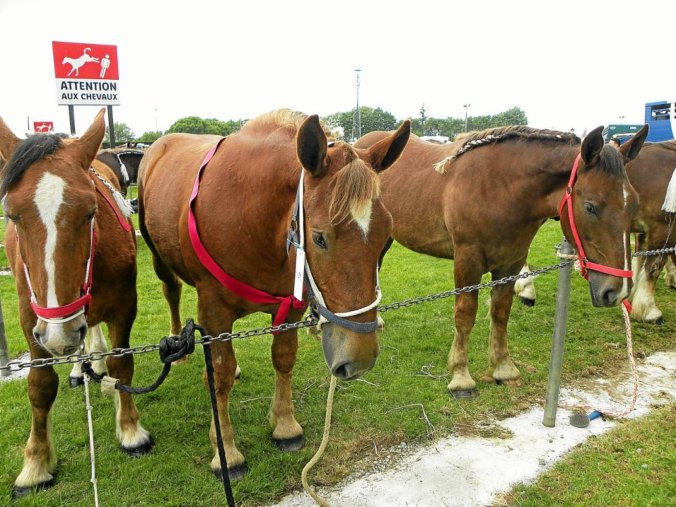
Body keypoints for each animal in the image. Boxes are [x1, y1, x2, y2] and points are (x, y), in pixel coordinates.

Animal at [0, 108, 151, 496]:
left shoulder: (124, 304)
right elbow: (39, 386)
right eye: (13, 215)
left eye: (90, 212)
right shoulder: (31, 318)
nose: (60, 334)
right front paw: (35, 464)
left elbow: (122, 363)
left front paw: (131, 430)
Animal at [138, 108, 410, 480]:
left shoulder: (290, 306)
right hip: (159, 259)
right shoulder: (214, 311)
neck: (252, 220)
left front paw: (284, 425)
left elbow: (283, 358)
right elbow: (219, 375)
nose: (360, 359)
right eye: (320, 238)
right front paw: (226, 451)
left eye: (386, 238)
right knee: (172, 291)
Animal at [356, 126, 648, 396]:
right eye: (590, 206)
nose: (616, 291)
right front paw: (461, 377)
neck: (501, 189)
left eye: (634, 205)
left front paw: (503, 369)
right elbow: (465, 315)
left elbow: (500, 312)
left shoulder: (511, 263)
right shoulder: (467, 260)